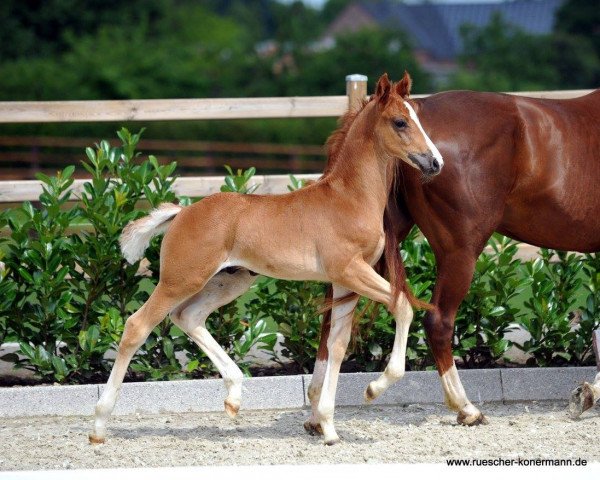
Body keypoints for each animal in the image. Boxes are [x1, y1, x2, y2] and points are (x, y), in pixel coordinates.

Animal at [91, 72, 442, 446]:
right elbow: (403, 306)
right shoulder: (350, 270)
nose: (435, 162)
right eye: (400, 121)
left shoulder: (344, 282)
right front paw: (374, 388)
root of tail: (182, 212)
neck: (348, 198)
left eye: (418, 117)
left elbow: (337, 345)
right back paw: (98, 426)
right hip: (180, 279)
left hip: (230, 280)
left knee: (188, 316)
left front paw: (328, 428)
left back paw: (234, 397)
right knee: (137, 326)